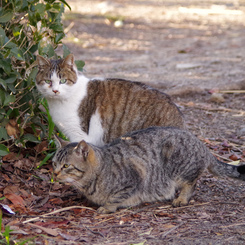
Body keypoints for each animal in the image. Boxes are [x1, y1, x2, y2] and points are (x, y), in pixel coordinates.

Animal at [52, 127, 245, 213]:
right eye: (54, 163)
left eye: (66, 166)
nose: (55, 174)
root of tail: (202, 144)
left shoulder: (136, 175)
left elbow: (116, 197)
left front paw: (107, 207)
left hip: (179, 164)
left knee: (191, 184)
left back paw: (182, 198)